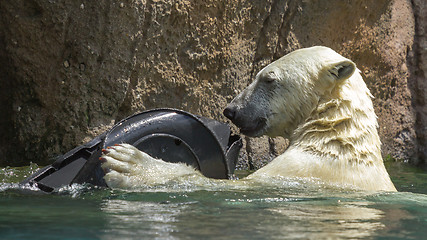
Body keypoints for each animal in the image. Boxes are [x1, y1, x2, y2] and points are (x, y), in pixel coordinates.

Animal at [100, 46, 398, 191]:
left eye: (268, 78)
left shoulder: (303, 172)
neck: (336, 137)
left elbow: (232, 187)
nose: (231, 110)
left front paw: (130, 164)